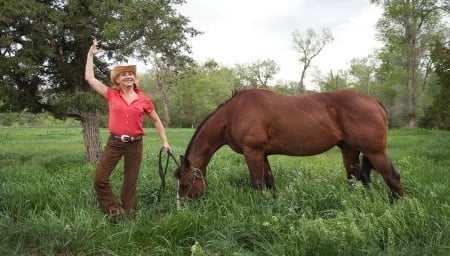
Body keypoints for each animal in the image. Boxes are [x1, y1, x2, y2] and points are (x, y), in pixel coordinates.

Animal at [174, 89, 402, 207]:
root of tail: (375, 101)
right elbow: (270, 183)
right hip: (349, 150)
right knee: (355, 180)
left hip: (375, 152)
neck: (233, 114)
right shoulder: (262, 154)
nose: (181, 207)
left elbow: (257, 184)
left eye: (184, 185)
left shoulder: (252, 152)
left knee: (392, 177)